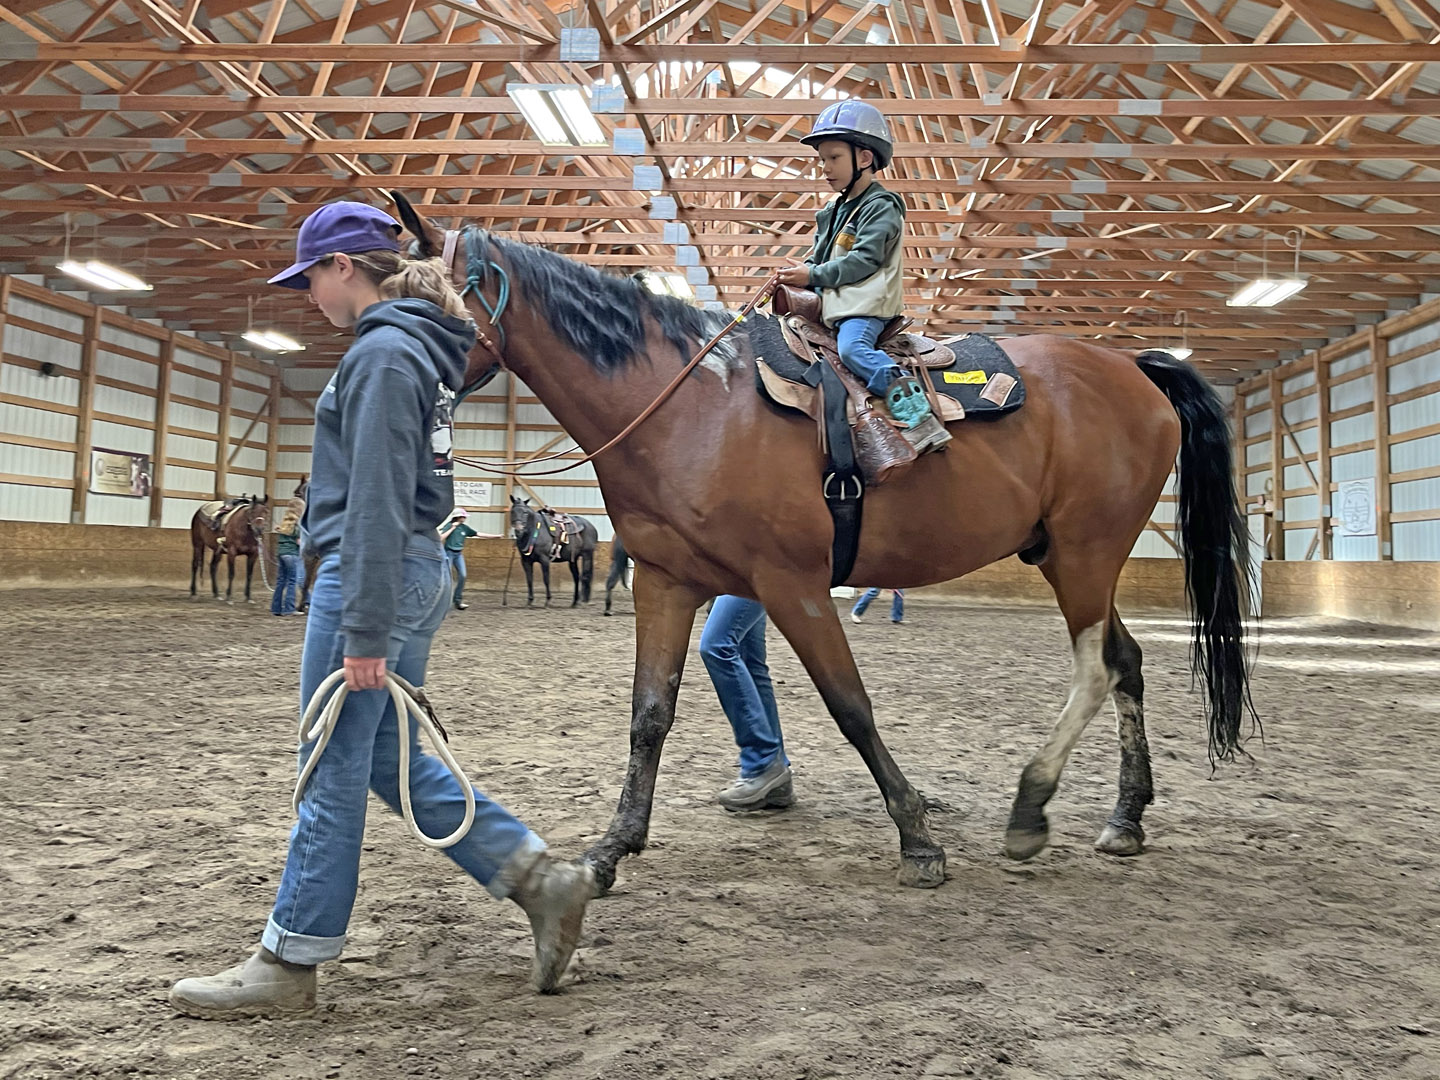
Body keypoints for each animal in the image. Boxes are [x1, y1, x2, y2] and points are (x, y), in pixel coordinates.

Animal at [393, 194, 1254, 896]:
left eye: (425, 301)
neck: (691, 406)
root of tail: (1133, 368)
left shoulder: (793, 584)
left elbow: (851, 706)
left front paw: (918, 839)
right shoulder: (666, 583)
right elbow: (648, 715)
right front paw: (611, 849)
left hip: (1083, 555)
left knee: (1097, 668)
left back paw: (1030, 808)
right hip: (1073, 560)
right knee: (1128, 663)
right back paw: (1126, 818)